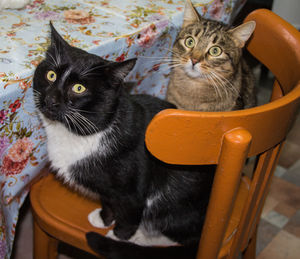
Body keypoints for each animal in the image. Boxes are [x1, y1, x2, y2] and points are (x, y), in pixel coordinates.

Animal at [34, 22, 214, 259]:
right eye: (51, 75)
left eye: (79, 88)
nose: (50, 99)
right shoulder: (107, 187)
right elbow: (108, 199)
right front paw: (103, 218)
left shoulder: (133, 188)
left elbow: (129, 213)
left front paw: (119, 236)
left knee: (182, 235)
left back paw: (144, 238)